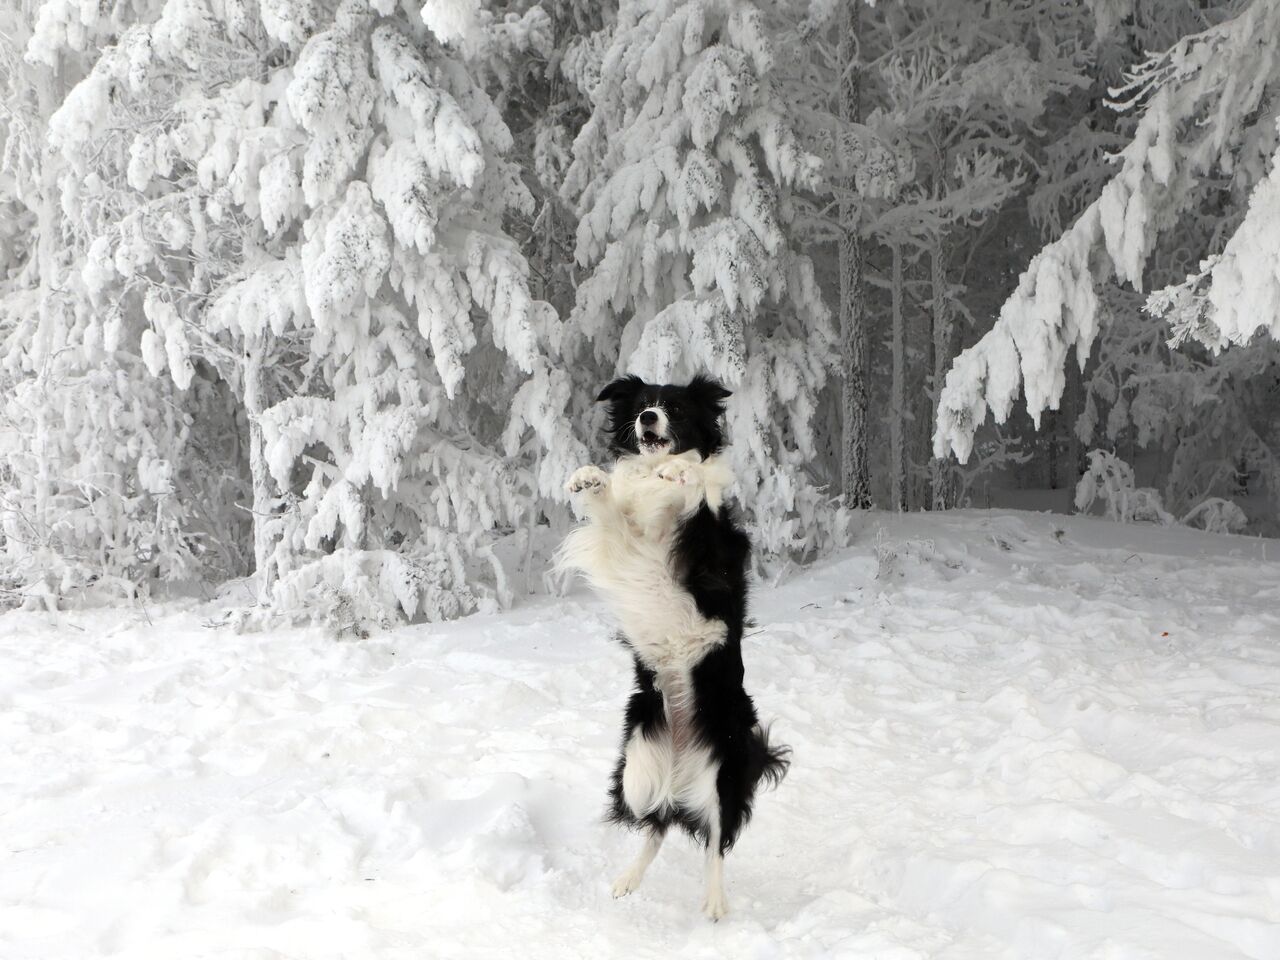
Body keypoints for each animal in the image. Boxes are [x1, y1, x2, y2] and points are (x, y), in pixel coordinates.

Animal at [555, 371, 783, 921]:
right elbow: (611, 510)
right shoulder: (625, 541)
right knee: (656, 822)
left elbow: (697, 488)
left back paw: (716, 902)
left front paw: (681, 472)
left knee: (715, 840)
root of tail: (681, 762)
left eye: (675, 408)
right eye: (641, 404)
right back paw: (627, 880)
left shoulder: (710, 547)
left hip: (723, 771)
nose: (647, 418)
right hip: (637, 766)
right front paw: (589, 479)